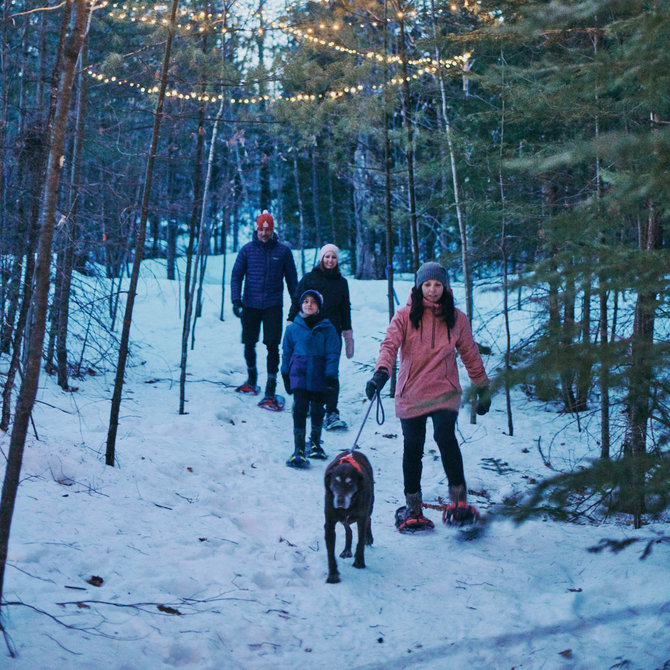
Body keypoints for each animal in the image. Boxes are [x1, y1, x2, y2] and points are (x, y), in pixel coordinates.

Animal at [324, 454, 376, 584]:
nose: (340, 501)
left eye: (350, 483)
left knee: (369, 519)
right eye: (335, 482)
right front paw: (333, 574)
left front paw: (359, 562)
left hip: (370, 506)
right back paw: (347, 550)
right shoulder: (330, 523)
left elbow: (360, 541)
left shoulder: (361, 519)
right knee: (349, 530)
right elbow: (330, 552)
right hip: (343, 519)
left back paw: (369, 537)